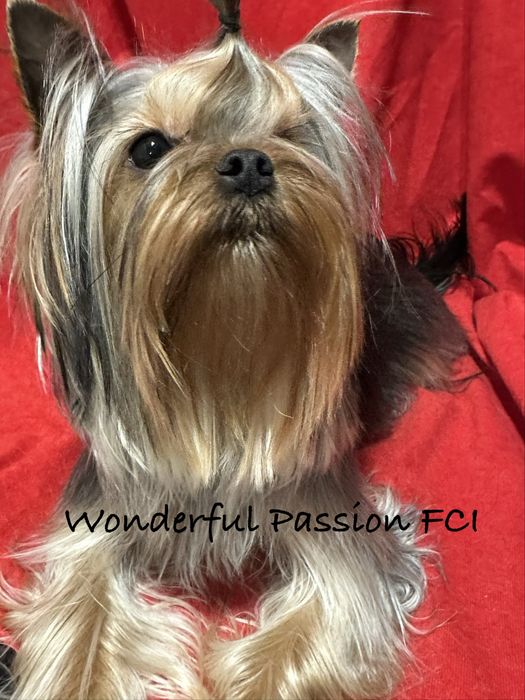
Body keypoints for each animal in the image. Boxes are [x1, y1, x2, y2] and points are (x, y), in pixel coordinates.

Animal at [0, 1, 467, 698]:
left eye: (291, 137)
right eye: (148, 148)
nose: (250, 161)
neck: (221, 366)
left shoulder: (342, 539)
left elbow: (325, 620)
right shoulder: (94, 528)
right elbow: (76, 615)